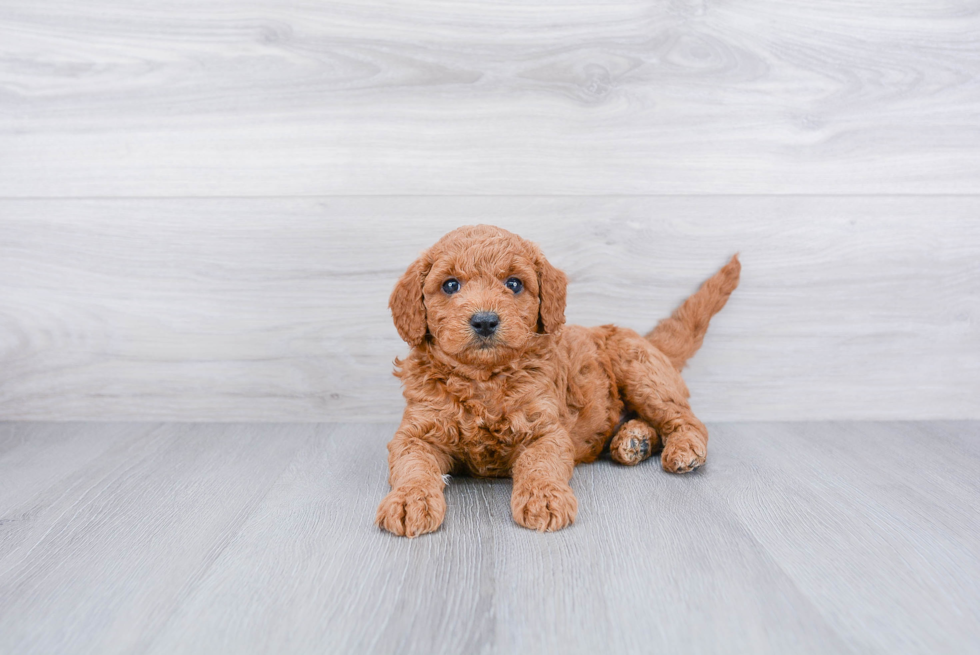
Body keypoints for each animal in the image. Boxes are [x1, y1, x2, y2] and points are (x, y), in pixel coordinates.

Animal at [378, 227, 740, 540]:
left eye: (514, 283)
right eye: (450, 285)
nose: (484, 321)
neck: (485, 378)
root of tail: (650, 341)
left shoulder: (546, 429)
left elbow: (541, 464)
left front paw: (544, 498)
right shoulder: (417, 432)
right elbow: (413, 465)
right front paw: (409, 501)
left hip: (640, 372)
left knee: (684, 417)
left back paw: (680, 447)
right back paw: (635, 441)